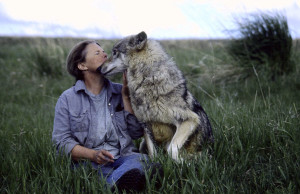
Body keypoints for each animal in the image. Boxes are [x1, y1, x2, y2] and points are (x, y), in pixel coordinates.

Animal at [99, 31, 214, 161]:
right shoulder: (145, 125)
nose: (99, 68)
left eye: (114, 52)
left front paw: (181, 162)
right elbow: (153, 155)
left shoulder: (190, 119)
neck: (148, 80)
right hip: (142, 144)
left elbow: (171, 149)